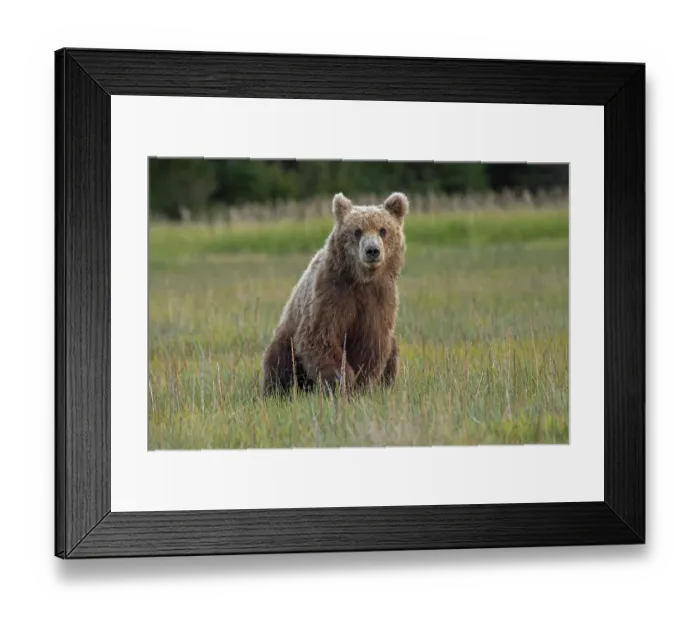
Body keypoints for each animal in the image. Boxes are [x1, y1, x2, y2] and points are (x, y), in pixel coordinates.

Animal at [261, 191, 409, 397]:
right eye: (357, 231)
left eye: (383, 230)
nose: (372, 250)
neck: (361, 280)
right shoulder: (332, 294)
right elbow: (321, 337)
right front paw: (342, 382)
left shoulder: (379, 299)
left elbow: (371, 343)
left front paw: (361, 385)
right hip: (286, 337)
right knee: (280, 362)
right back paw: (278, 392)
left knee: (392, 352)